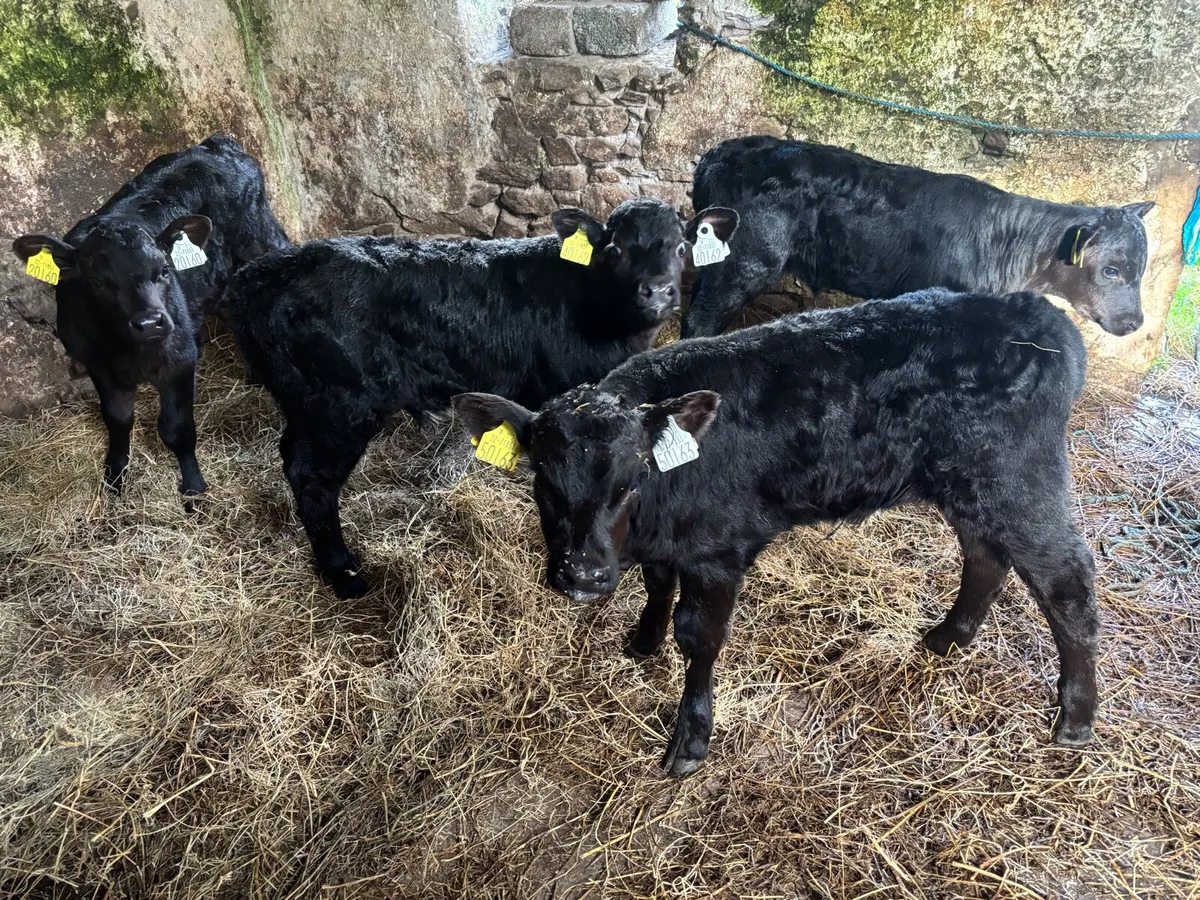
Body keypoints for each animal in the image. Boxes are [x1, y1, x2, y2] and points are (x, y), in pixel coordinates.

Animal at [11, 135, 290, 502]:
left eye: (164, 270)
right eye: (96, 282)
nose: (150, 323)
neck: (127, 351)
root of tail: (215, 144)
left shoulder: (179, 360)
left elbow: (176, 429)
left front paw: (194, 490)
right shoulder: (97, 363)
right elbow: (117, 420)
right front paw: (114, 478)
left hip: (263, 242)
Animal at [227, 197, 739, 599]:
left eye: (682, 247)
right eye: (615, 250)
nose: (657, 291)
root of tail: (257, 275)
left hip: (308, 406)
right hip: (340, 407)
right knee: (312, 479)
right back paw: (345, 574)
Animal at [453, 288, 1098, 776]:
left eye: (634, 476)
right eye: (541, 477)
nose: (582, 574)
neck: (661, 504)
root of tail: (1039, 312)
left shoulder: (718, 550)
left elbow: (699, 636)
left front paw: (690, 741)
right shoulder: (665, 543)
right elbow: (657, 585)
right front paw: (642, 642)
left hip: (1019, 480)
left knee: (1066, 581)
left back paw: (1075, 718)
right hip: (968, 485)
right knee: (985, 556)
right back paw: (949, 637)